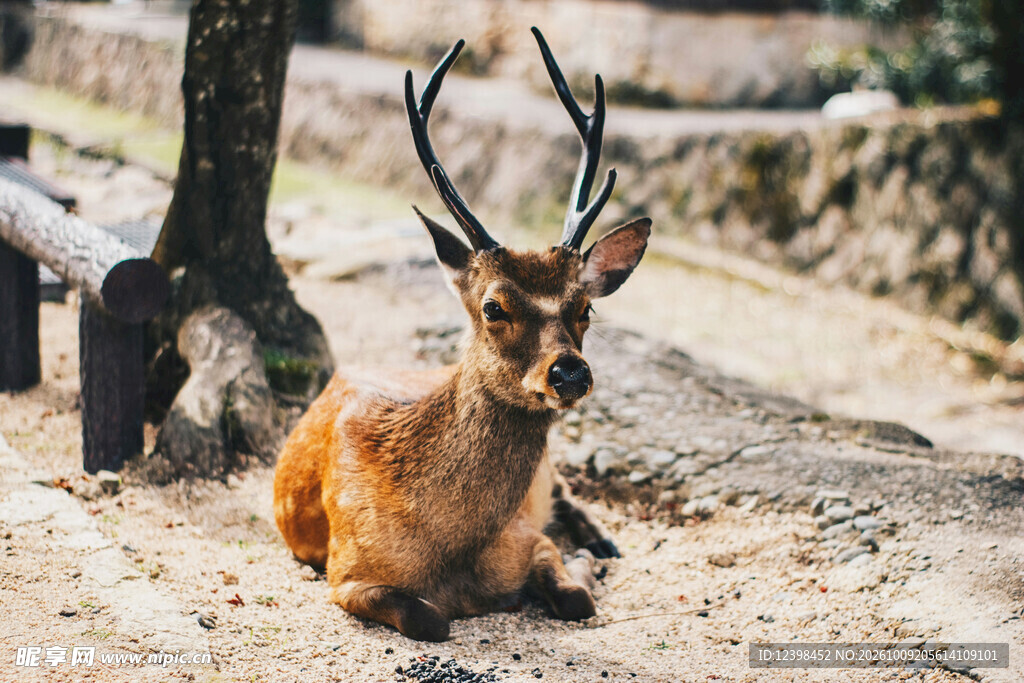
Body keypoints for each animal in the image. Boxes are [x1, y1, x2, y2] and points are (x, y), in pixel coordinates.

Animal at [273, 28, 651, 642]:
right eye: (494, 306)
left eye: (586, 307)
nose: (570, 372)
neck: (451, 555)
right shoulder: (345, 570)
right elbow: (430, 619)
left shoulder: (527, 536)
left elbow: (575, 598)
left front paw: (583, 565)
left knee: (569, 491)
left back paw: (602, 542)